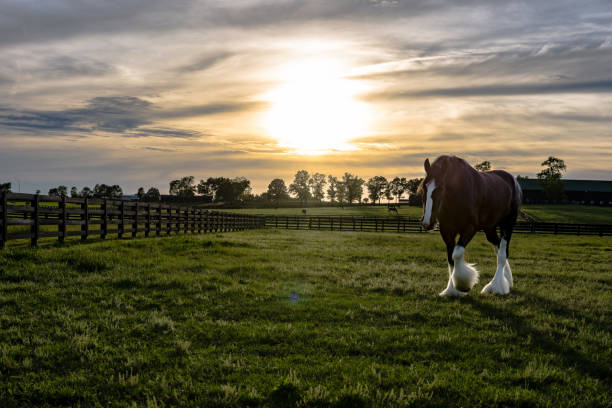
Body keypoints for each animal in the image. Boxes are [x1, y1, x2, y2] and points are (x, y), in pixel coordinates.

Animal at [420, 155, 520, 294]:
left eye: (440, 188)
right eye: (424, 187)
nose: (427, 223)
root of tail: (512, 181)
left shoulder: (469, 228)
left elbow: (457, 254)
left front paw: (463, 285)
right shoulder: (446, 230)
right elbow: (450, 258)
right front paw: (451, 290)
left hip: (507, 224)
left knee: (501, 255)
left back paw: (495, 286)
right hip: (490, 229)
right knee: (499, 248)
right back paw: (507, 280)